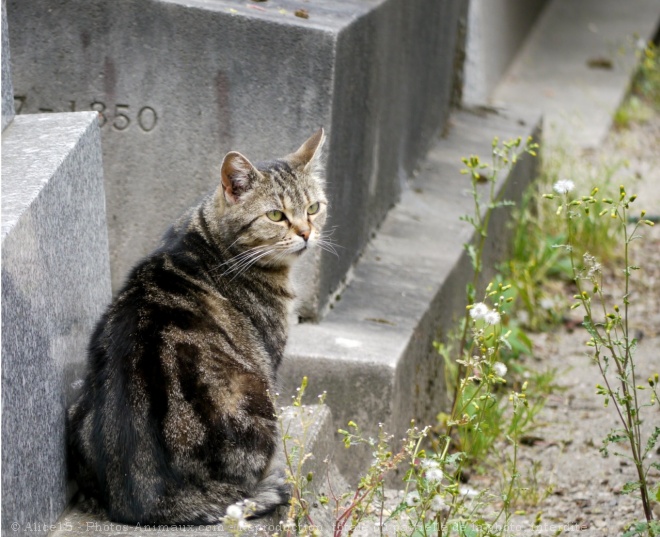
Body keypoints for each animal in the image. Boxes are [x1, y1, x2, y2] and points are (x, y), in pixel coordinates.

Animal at [67, 129, 330, 524]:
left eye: (313, 208)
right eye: (275, 215)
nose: (305, 233)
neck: (209, 236)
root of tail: (149, 500)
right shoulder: (270, 357)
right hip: (255, 393)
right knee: (237, 494)